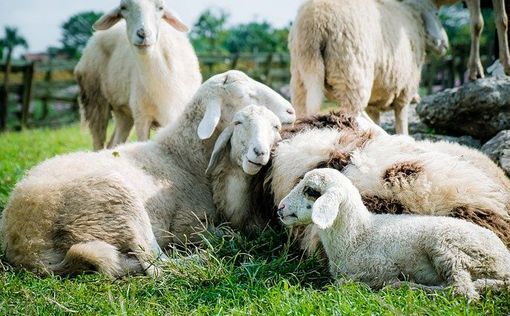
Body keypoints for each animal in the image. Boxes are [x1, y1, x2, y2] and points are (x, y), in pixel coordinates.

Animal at [0, 69, 294, 276]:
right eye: (246, 96)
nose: (291, 110)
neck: (181, 155)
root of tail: (26, 244)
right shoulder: (187, 224)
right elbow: (226, 234)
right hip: (117, 201)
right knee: (156, 264)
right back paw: (202, 259)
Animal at [74, 0, 202, 150]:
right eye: (123, 8)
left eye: (161, 7)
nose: (143, 33)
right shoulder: (142, 117)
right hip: (95, 100)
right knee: (98, 142)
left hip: (123, 112)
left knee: (114, 142)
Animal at [276, 168, 510, 298]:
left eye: (311, 191)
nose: (280, 209)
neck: (358, 235)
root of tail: (504, 259)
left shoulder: (381, 267)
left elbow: (346, 283)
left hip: (449, 247)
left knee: (462, 291)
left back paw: (406, 287)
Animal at [290, 0, 446, 135]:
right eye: (437, 14)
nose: (444, 45)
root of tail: (315, 21)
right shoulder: (406, 89)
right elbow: (401, 120)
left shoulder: (375, 102)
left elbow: (376, 118)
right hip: (351, 73)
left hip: (302, 76)